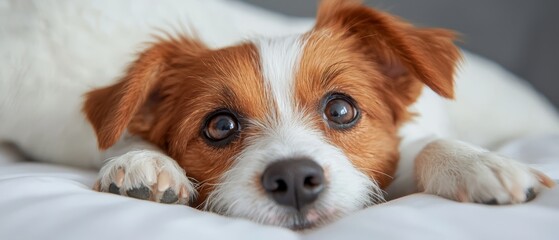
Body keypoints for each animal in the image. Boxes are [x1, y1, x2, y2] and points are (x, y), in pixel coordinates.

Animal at [0, 0, 556, 230]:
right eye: (220, 125)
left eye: (341, 108)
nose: (292, 179)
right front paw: (142, 161)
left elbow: (423, 145)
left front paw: (478, 164)